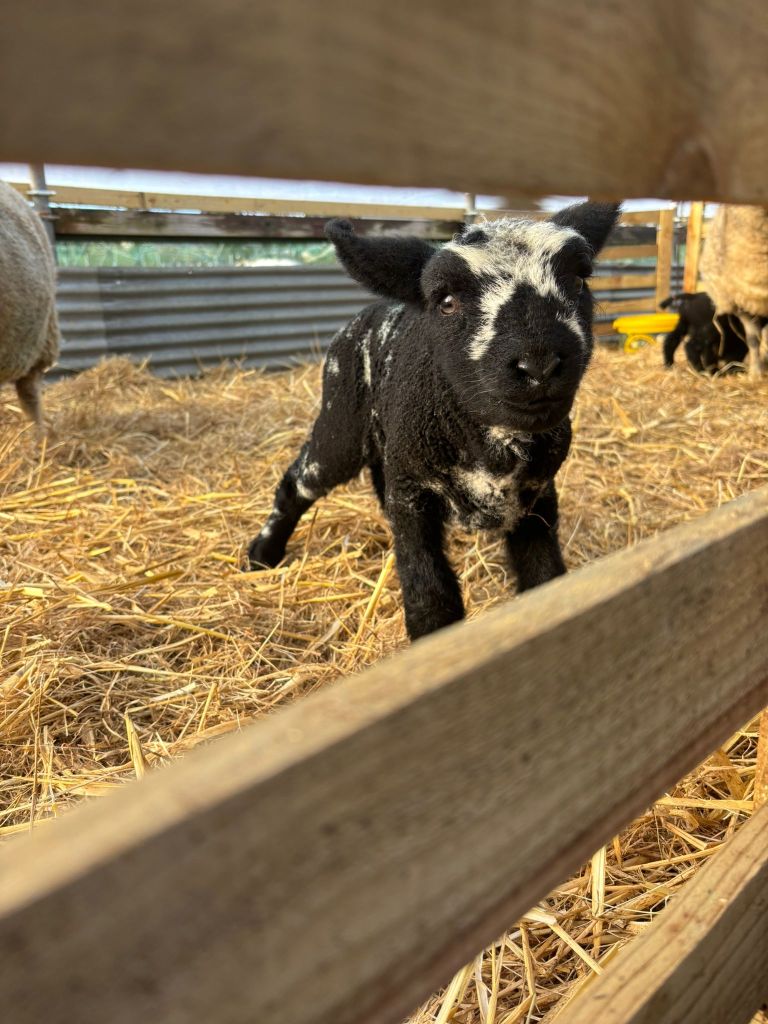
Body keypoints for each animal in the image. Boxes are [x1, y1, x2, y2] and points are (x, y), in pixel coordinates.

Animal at [247, 201, 621, 640]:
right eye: (446, 301)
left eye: (579, 279)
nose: (539, 365)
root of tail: (367, 311)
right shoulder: (413, 501)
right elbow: (432, 605)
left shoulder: (537, 495)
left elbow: (545, 579)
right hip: (341, 422)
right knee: (298, 481)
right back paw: (262, 554)